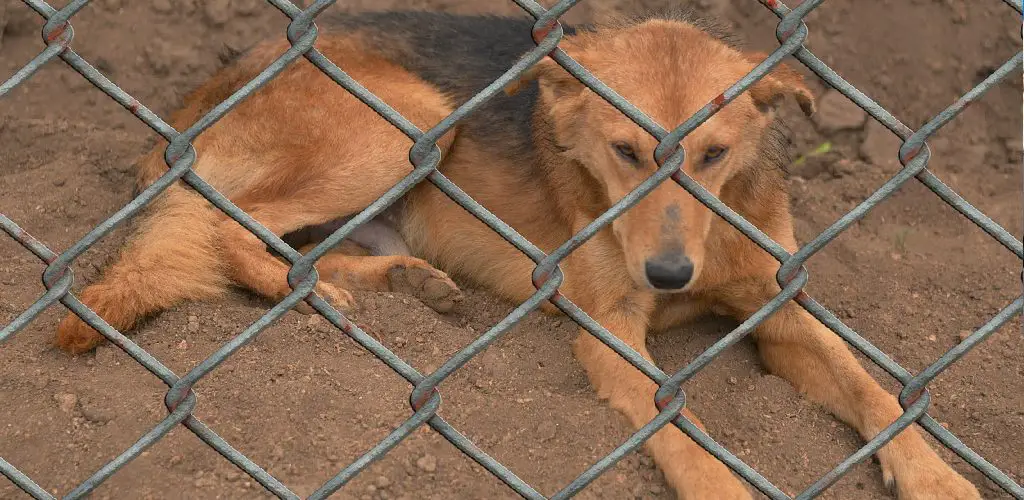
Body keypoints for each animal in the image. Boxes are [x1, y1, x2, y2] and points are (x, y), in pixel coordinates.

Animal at [54, 8, 974, 500]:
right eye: (626, 152)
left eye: (712, 156)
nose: (668, 274)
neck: (703, 245)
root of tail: (196, 101)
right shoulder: (611, 336)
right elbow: (681, 430)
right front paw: (719, 485)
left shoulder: (778, 313)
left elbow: (877, 393)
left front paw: (935, 476)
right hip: (409, 123)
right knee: (232, 224)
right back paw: (313, 294)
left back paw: (402, 281)